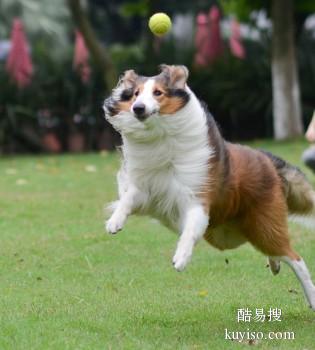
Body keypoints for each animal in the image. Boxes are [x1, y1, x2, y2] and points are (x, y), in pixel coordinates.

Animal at [104, 64, 315, 310]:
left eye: (158, 93)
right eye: (135, 94)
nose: (138, 108)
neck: (162, 136)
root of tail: (267, 160)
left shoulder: (197, 199)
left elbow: (189, 230)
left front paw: (181, 258)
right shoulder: (148, 190)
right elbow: (128, 199)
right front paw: (114, 222)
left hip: (264, 226)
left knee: (295, 258)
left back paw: (311, 296)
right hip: (231, 233)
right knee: (276, 253)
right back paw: (275, 265)